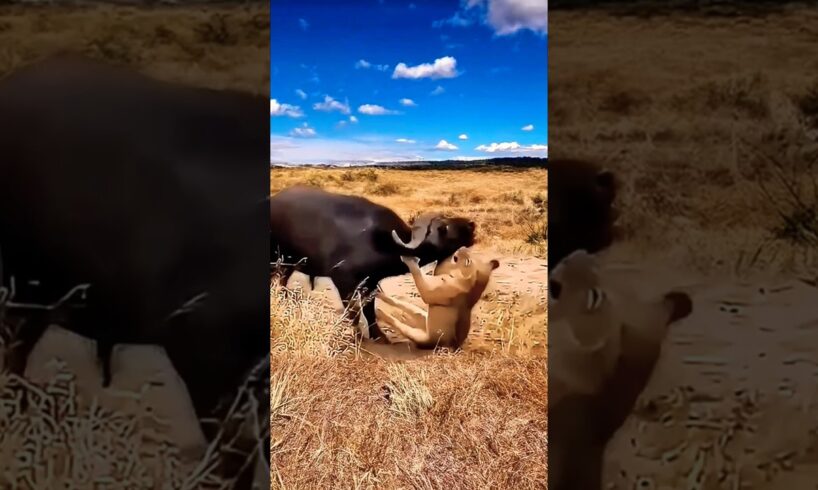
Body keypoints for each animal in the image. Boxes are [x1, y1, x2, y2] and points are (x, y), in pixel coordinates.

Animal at [270, 185, 472, 340]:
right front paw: (358, 336)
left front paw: (378, 335)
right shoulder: (343, 281)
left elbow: (369, 311)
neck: (382, 240)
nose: (472, 225)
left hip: (287, 265)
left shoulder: (372, 283)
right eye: (443, 228)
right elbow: (353, 312)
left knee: (282, 282)